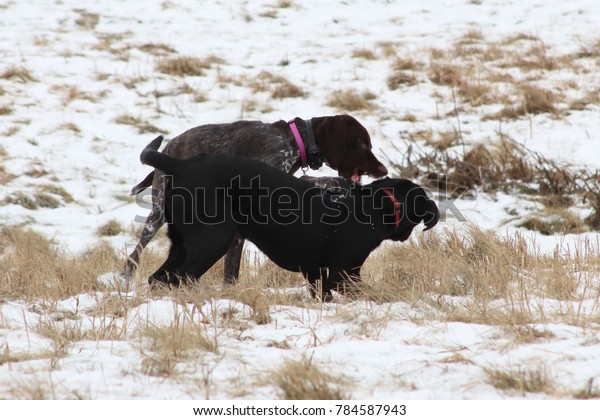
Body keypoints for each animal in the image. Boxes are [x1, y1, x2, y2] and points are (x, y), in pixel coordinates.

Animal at [141, 137, 440, 298]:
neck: (372, 206)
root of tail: (180, 164)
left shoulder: (315, 272)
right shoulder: (344, 274)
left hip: (181, 245)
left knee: (158, 279)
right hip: (212, 241)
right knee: (179, 278)